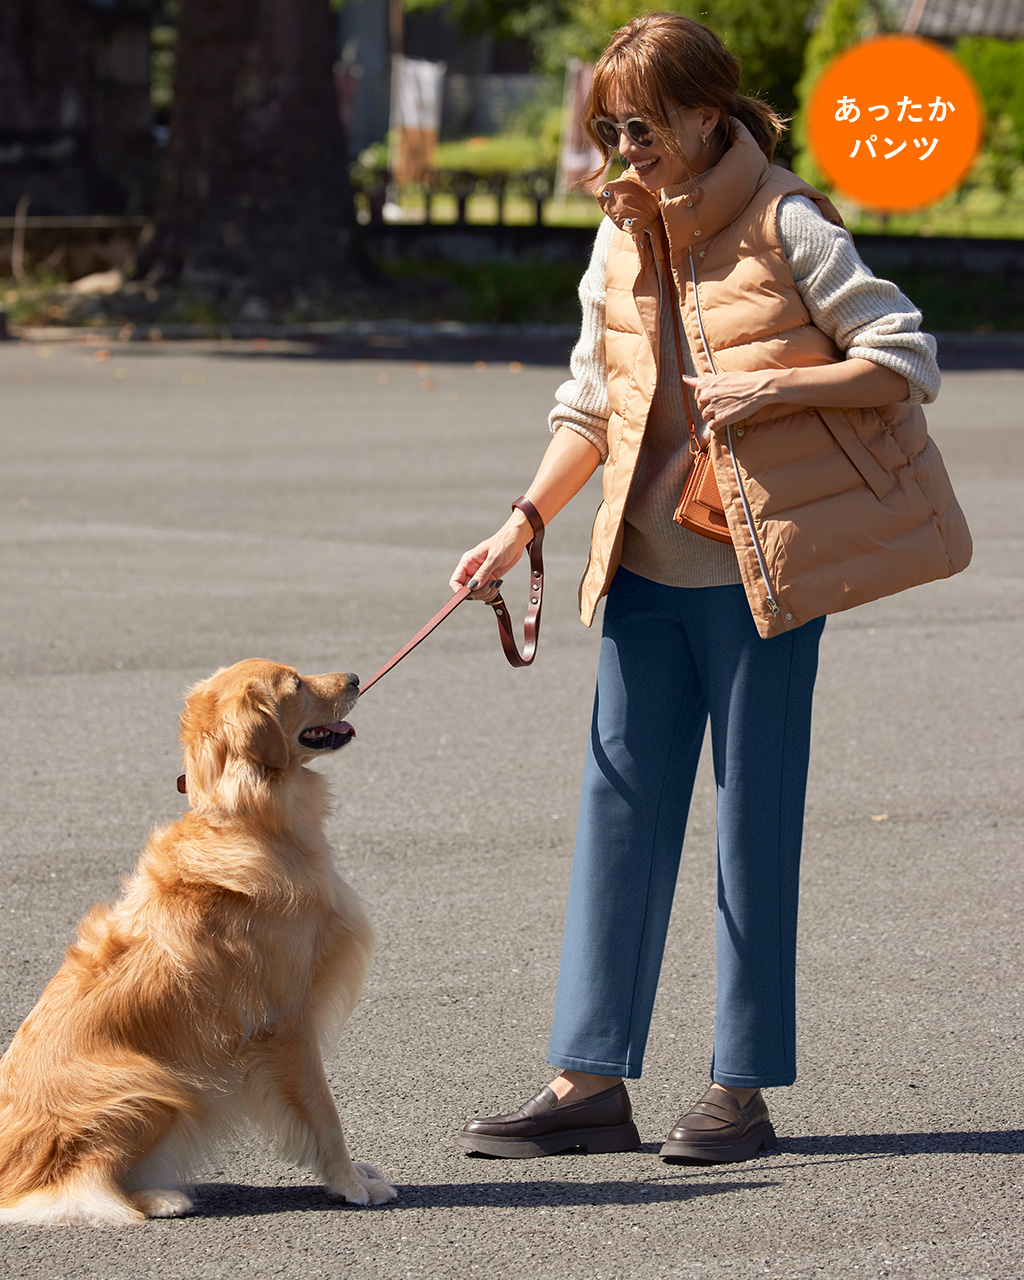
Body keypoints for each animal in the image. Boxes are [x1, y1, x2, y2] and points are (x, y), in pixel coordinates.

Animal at [0, 655, 396, 1223]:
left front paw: (352, 1175)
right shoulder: (286, 1022)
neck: (252, 826)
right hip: (149, 1086)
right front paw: (349, 1183)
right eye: (295, 683)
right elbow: (324, 1112)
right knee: (71, 1189)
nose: (356, 678)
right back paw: (158, 1198)